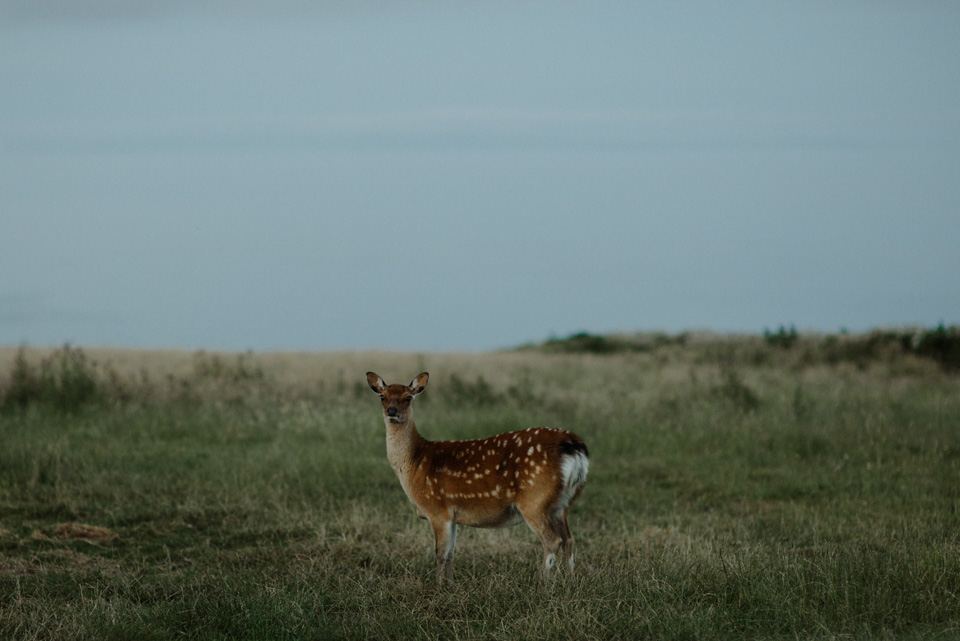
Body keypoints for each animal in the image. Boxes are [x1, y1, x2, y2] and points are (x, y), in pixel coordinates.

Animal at [368, 370, 588, 584]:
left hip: (535, 499)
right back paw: (570, 582)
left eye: (408, 397)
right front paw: (451, 585)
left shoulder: (437, 509)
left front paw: (438, 587)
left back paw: (542, 585)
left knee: (552, 540)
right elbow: (451, 553)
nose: (392, 411)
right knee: (569, 539)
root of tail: (574, 447)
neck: (415, 463)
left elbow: (440, 553)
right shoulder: (453, 515)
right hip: (562, 503)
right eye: (382, 397)